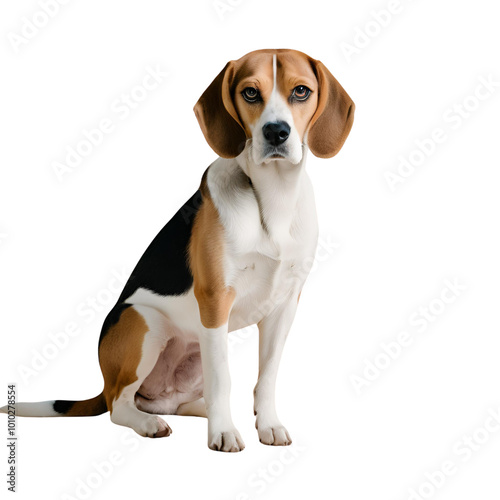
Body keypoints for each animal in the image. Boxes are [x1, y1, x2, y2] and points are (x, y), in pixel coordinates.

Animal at [0, 48, 354, 452]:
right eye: (250, 93)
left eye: (301, 91)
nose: (276, 131)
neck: (273, 197)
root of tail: (106, 383)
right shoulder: (215, 299)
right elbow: (224, 380)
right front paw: (223, 433)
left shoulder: (284, 305)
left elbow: (266, 378)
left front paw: (268, 425)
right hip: (145, 322)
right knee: (120, 405)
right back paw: (150, 422)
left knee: (176, 401)